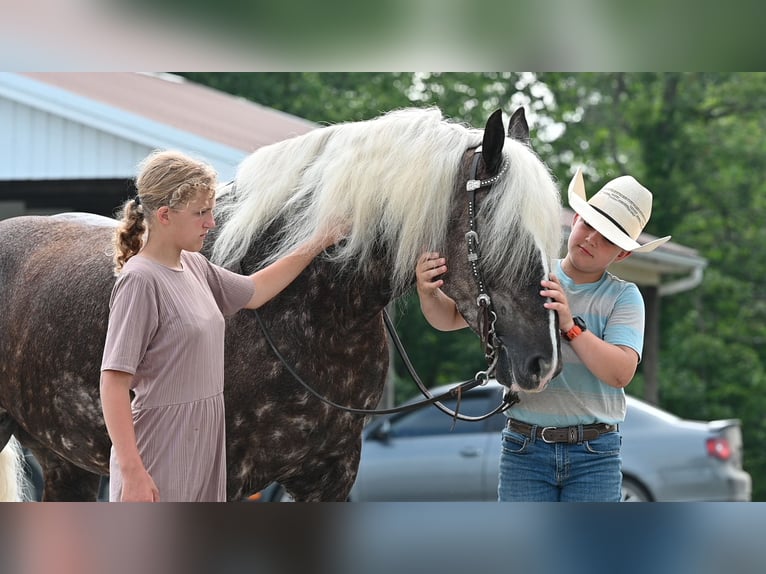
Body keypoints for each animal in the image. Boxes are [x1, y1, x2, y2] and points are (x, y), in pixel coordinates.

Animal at [0, 106, 562, 501]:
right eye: (505, 233)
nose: (544, 362)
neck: (313, 312)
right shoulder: (226, 476)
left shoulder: (331, 475)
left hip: (66, 462)